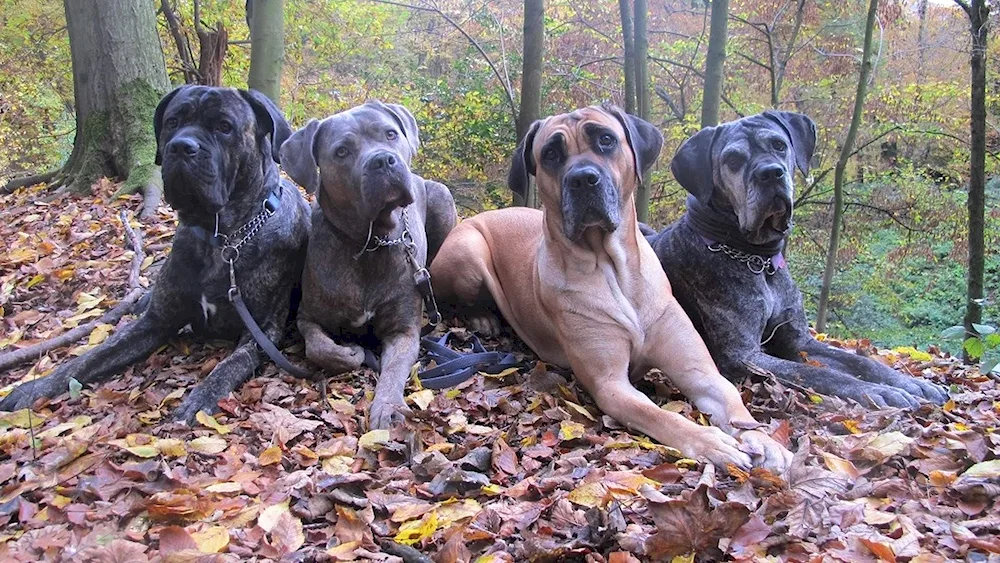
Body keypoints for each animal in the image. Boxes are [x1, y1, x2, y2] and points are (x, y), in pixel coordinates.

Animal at [0, 86, 310, 420]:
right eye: (172, 122)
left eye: (224, 126)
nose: (182, 147)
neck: (223, 239)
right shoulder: (156, 321)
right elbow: (90, 357)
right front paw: (35, 387)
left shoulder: (262, 331)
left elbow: (230, 364)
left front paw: (202, 397)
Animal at [278, 101, 458, 430]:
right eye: (341, 151)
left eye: (390, 134)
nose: (383, 161)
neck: (372, 242)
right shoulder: (307, 315)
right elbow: (318, 346)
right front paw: (348, 353)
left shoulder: (404, 330)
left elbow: (395, 370)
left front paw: (388, 406)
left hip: (441, 197)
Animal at [434, 106, 792, 472]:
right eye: (551, 153)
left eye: (605, 139)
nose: (582, 178)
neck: (614, 271)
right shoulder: (611, 384)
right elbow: (661, 416)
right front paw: (711, 442)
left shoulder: (698, 370)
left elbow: (732, 401)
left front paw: (763, 439)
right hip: (469, 249)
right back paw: (482, 318)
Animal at [644, 111, 948, 410]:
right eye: (732, 160)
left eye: (779, 145)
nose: (770, 173)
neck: (757, 258)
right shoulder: (742, 354)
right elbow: (816, 373)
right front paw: (876, 391)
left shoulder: (799, 340)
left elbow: (859, 361)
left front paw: (913, 383)